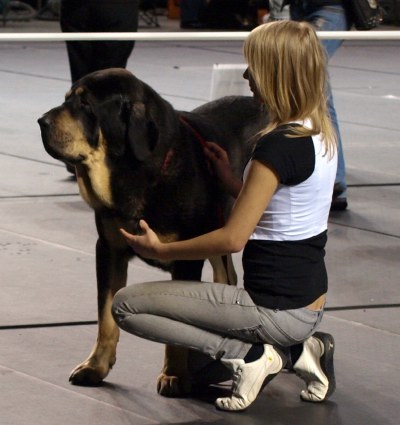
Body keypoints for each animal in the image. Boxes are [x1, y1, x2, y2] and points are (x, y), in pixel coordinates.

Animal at [38, 66, 268, 394]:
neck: (134, 173)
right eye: (67, 99)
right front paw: (96, 366)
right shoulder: (109, 250)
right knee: (227, 275)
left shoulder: (186, 258)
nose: (41, 121)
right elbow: (105, 315)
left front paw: (175, 374)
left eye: (85, 105)